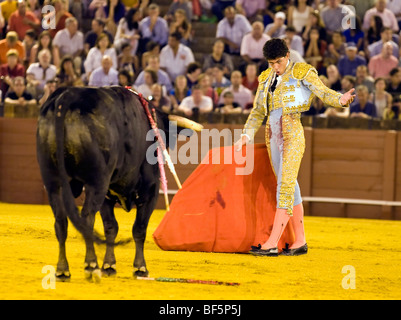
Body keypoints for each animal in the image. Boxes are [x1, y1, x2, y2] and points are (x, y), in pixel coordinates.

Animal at [36, 86, 194, 282]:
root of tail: (68, 96)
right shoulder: (150, 191)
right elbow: (139, 228)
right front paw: (140, 268)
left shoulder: (107, 196)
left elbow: (111, 227)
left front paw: (109, 265)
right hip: (96, 181)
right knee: (86, 218)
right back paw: (91, 265)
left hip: (53, 181)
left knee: (60, 221)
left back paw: (62, 270)